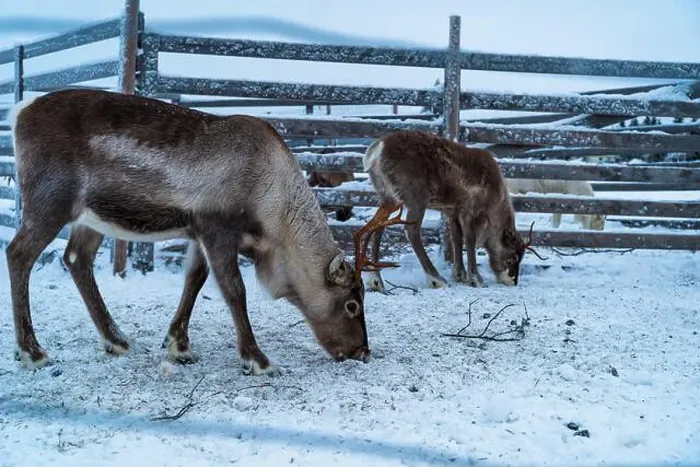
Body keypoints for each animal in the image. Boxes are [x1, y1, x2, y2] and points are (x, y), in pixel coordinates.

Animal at [6, 89, 403, 374]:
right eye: (352, 303)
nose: (362, 351)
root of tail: (19, 112)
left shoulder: (198, 232)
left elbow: (194, 280)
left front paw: (179, 345)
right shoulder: (218, 228)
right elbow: (234, 291)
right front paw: (258, 359)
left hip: (91, 217)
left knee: (76, 258)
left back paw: (117, 340)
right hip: (50, 200)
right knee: (18, 253)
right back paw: (32, 351)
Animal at [357, 130, 547, 294]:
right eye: (512, 257)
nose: (513, 281)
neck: (494, 199)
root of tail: (376, 150)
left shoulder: (451, 211)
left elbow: (456, 238)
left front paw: (459, 274)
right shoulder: (468, 209)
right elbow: (469, 241)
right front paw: (475, 278)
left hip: (387, 196)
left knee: (377, 227)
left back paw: (375, 280)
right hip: (416, 198)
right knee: (411, 231)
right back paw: (436, 279)